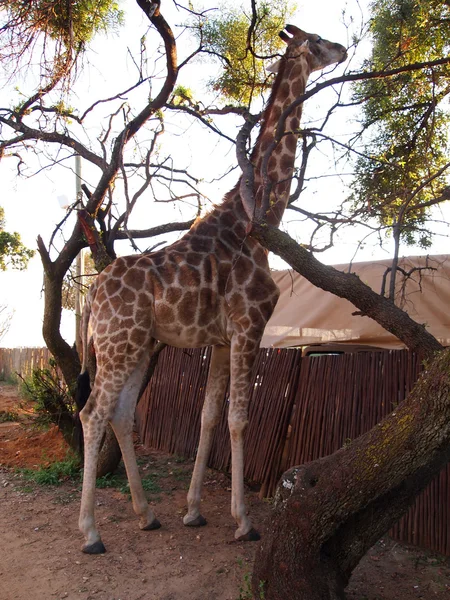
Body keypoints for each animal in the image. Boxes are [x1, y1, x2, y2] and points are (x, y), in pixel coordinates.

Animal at [77, 27, 346, 552]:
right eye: (319, 40)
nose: (345, 49)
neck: (255, 221)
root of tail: (94, 293)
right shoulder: (249, 325)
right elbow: (239, 419)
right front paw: (244, 521)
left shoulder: (221, 340)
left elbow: (207, 417)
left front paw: (193, 511)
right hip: (118, 343)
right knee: (92, 413)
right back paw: (91, 533)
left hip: (139, 345)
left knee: (121, 413)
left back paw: (147, 515)